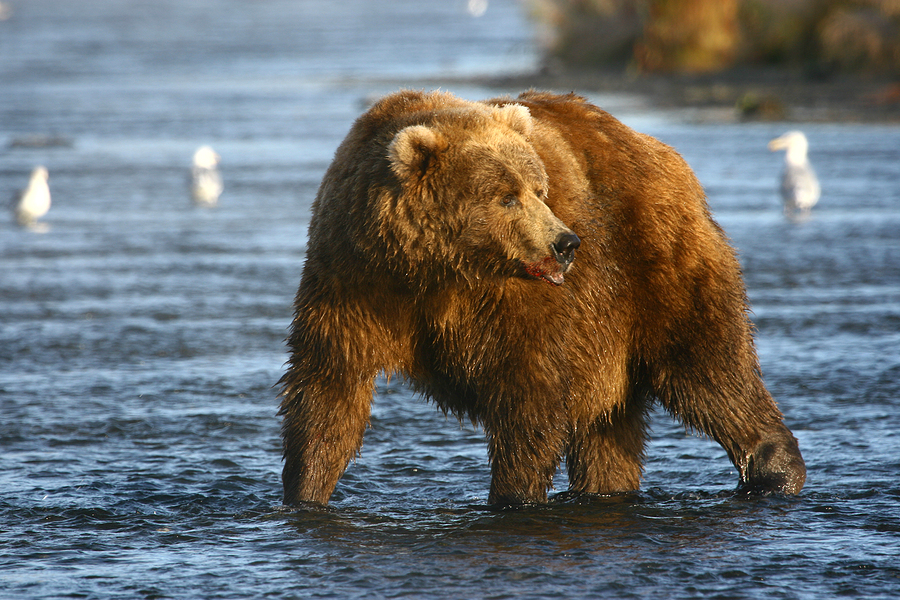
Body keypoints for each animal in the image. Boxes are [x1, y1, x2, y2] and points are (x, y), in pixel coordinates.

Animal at [278, 89, 804, 506]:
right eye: (507, 195)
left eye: (540, 188)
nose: (566, 243)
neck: (435, 269)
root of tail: (662, 152)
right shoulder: (354, 284)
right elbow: (328, 391)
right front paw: (304, 491)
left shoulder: (514, 306)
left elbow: (530, 395)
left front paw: (514, 493)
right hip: (607, 329)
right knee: (608, 427)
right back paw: (606, 489)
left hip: (653, 267)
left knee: (708, 368)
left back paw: (774, 469)